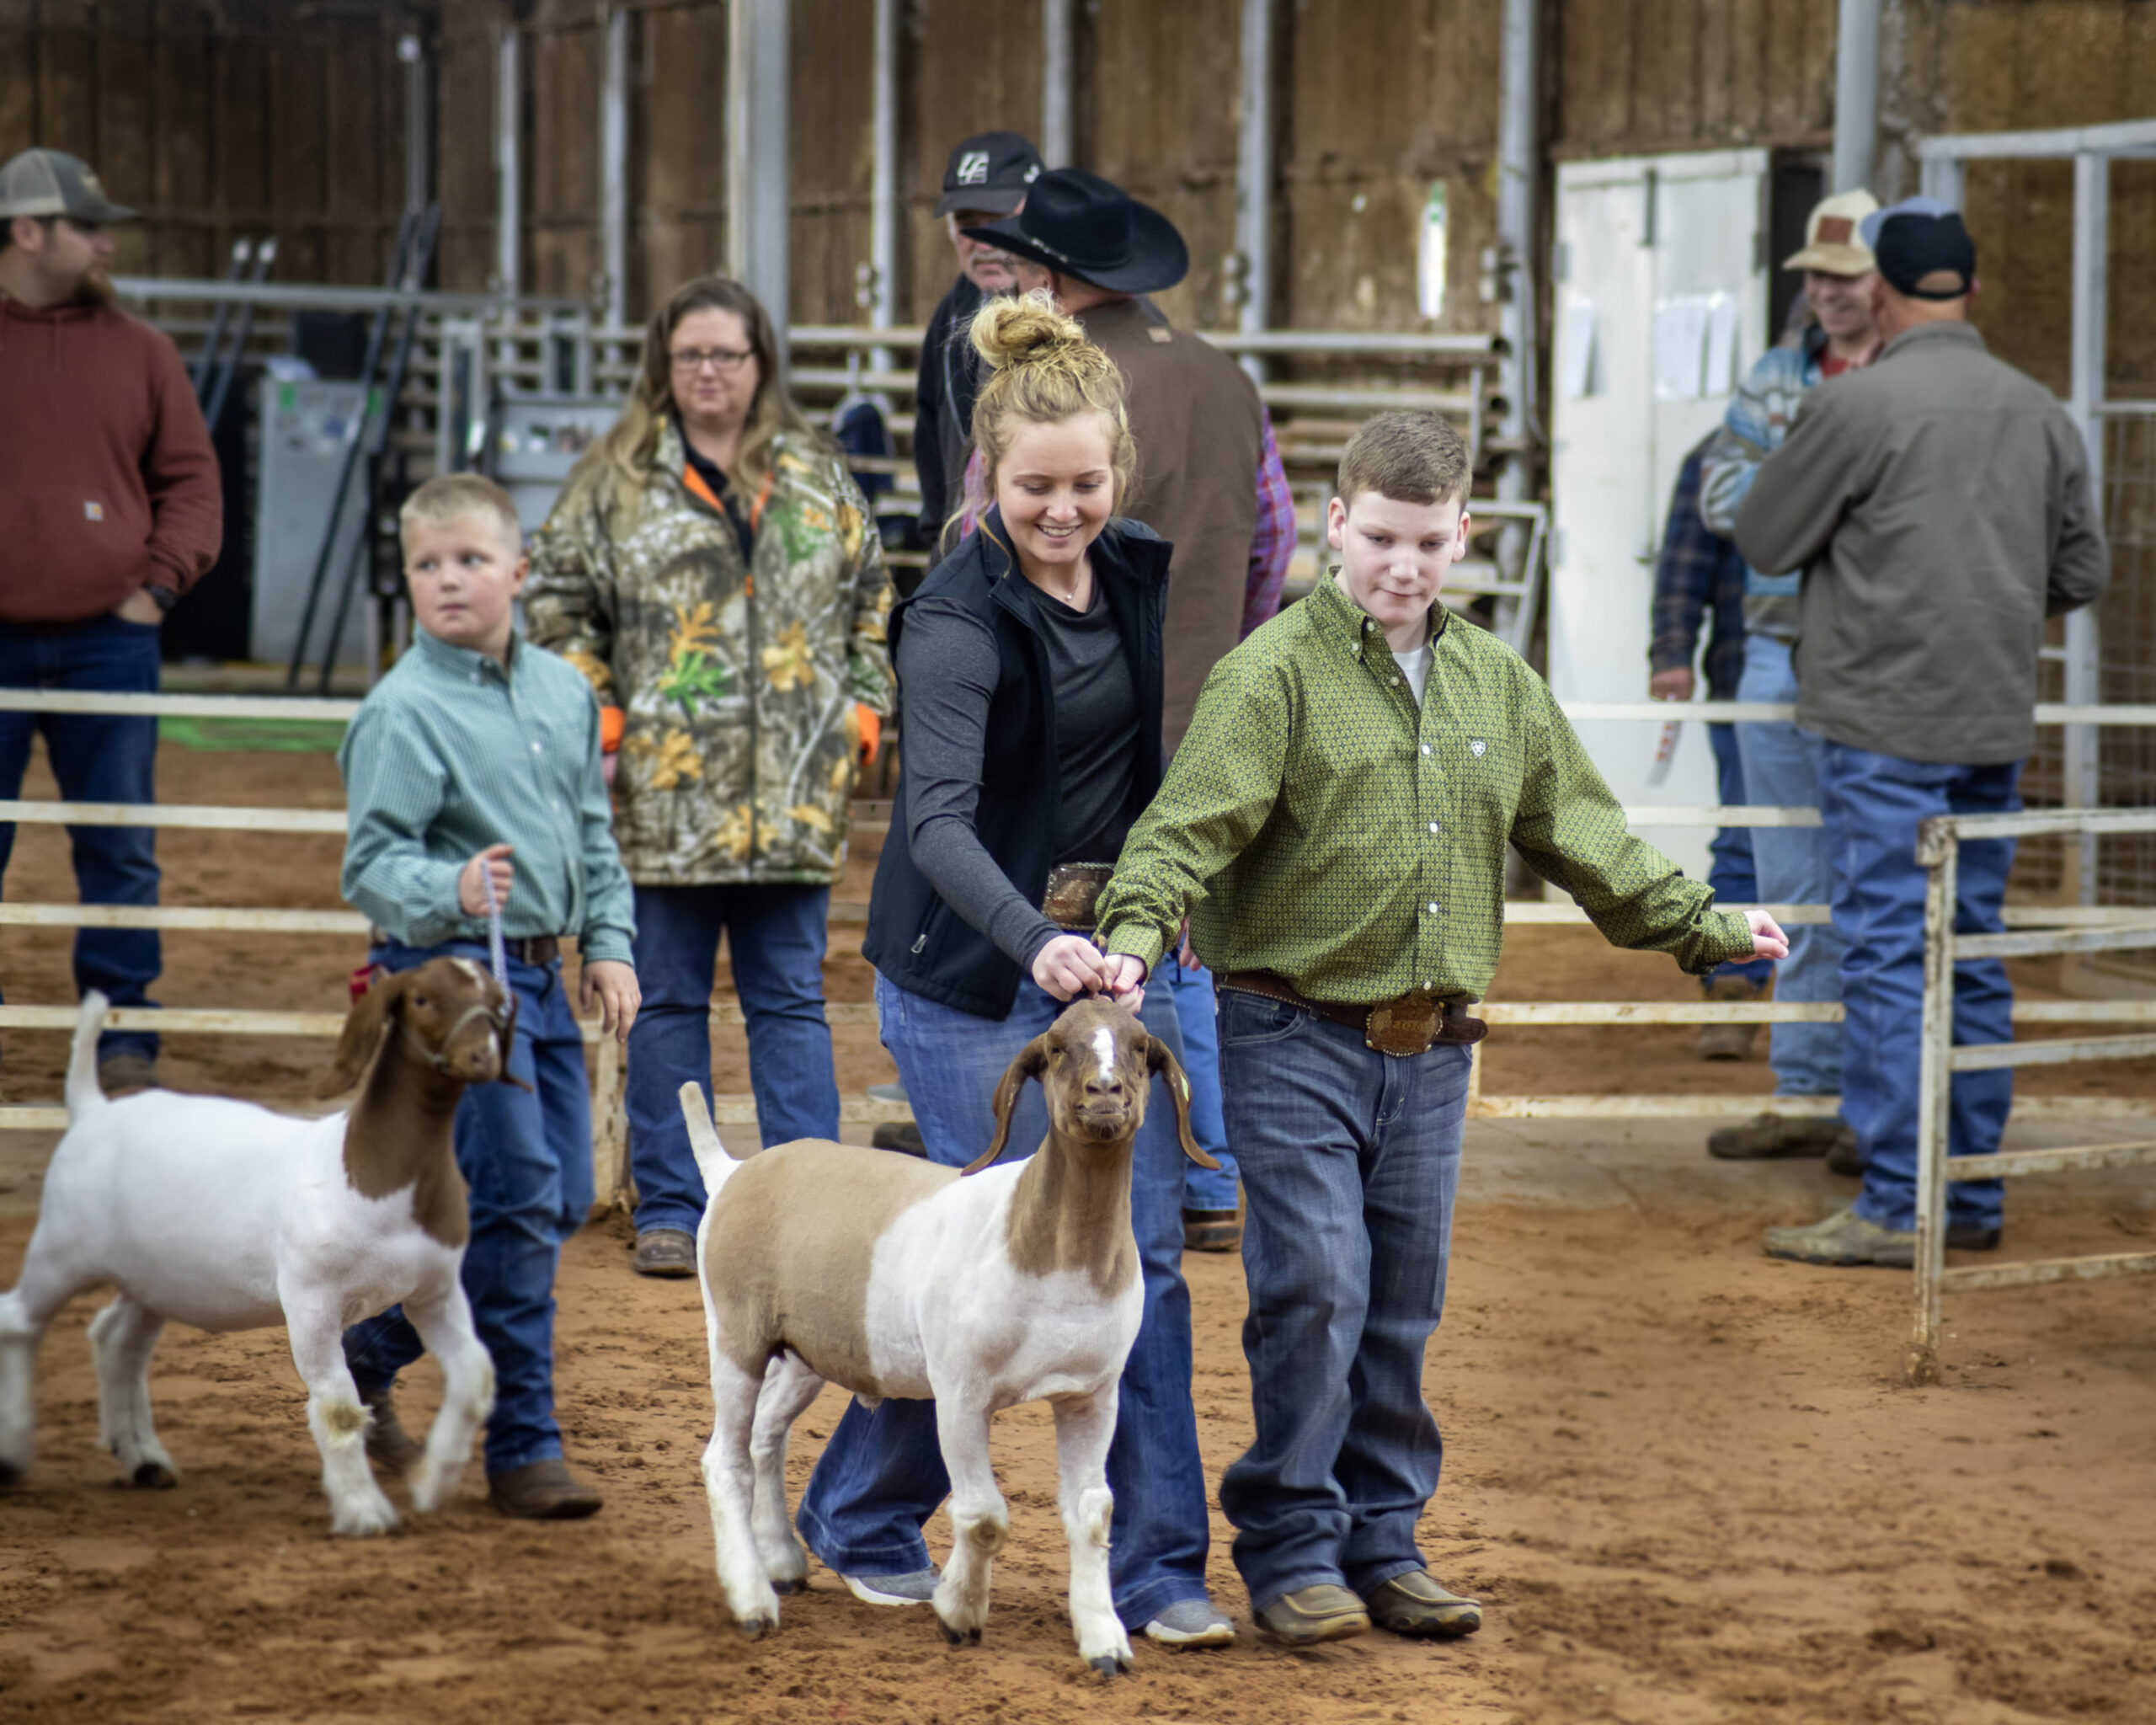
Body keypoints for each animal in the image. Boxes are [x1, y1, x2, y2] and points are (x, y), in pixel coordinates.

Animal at [0, 959, 507, 1536]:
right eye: (422, 999)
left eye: (498, 999)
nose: (484, 1056)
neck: (362, 1169)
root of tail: (92, 1110)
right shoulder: (312, 1302)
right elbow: (338, 1408)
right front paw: (364, 1512)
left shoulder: (435, 1293)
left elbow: (475, 1375)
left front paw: (431, 1481)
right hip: (62, 1248)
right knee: (18, 1320)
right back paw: (14, 1456)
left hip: (157, 1278)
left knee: (117, 1341)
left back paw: (144, 1459)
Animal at [678, 995, 1216, 1674]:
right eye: (1057, 1048)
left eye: (1141, 1047)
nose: (1104, 1092)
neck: (1047, 1252)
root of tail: (732, 1172)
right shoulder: (962, 1391)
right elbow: (984, 1516)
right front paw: (959, 1613)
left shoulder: (1092, 1394)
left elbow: (1094, 1513)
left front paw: (1104, 1642)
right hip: (735, 1333)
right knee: (724, 1459)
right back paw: (752, 1601)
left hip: (807, 1352)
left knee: (765, 1436)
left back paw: (782, 1563)